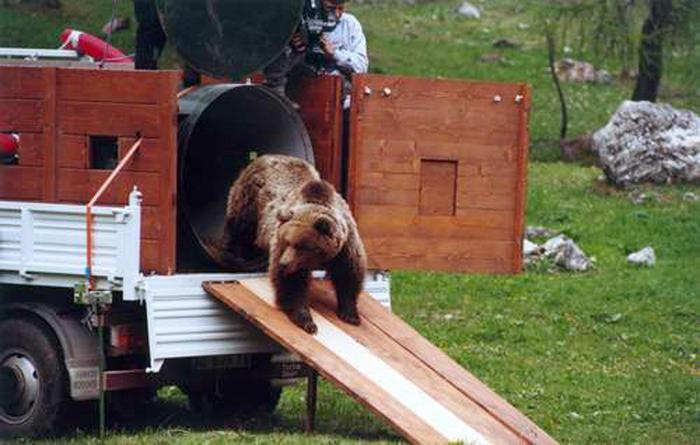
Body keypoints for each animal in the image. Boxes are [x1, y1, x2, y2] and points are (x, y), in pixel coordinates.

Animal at [214, 154, 366, 334]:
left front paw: (350, 314)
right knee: (239, 227)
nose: (284, 263)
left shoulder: (346, 244)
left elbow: (348, 274)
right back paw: (234, 253)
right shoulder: (282, 243)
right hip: (250, 199)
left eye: (302, 246)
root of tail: (264, 157)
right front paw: (306, 321)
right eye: (287, 242)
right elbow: (291, 283)